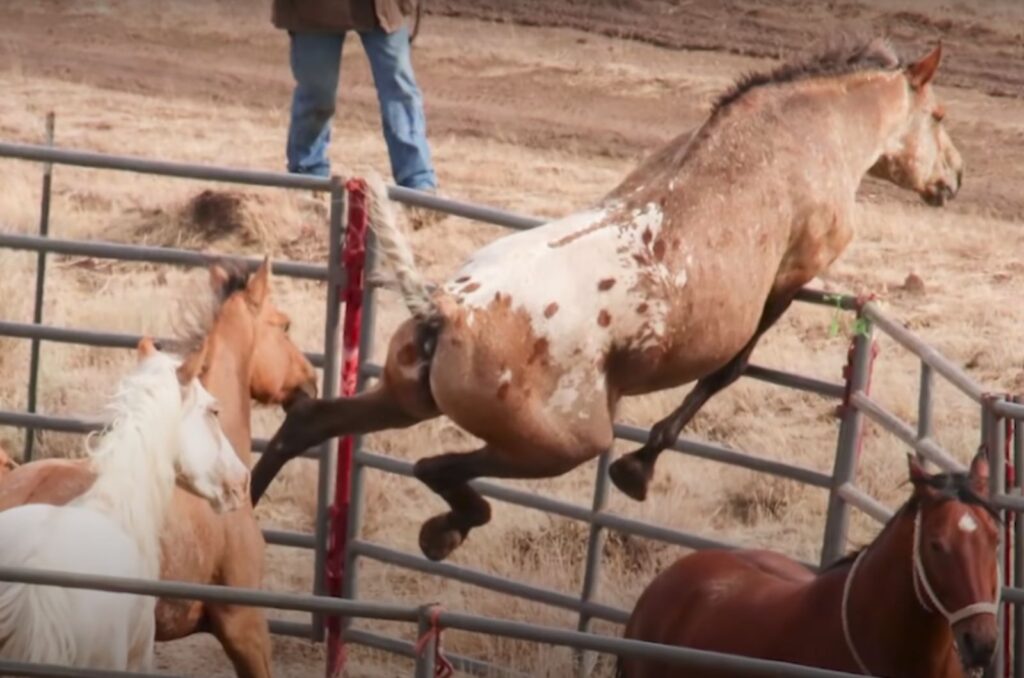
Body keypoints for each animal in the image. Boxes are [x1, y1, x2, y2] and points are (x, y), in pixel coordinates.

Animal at [251, 39, 962, 565]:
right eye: (939, 117)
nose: (954, 179)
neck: (803, 131)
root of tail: (446, 311)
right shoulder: (795, 273)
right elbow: (726, 370)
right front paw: (639, 469)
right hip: (561, 443)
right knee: (439, 467)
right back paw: (444, 530)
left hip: (404, 400)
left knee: (309, 422)